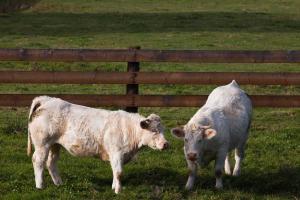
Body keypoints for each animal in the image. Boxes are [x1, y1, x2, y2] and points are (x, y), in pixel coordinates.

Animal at [27, 96, 169, 193]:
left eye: (163, 130)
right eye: (154, 131)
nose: (166, 144)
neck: (128, 129)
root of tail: (47, 99)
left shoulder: (118, 156)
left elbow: (115, 172)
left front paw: (114, 187)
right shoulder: (116, 153)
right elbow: (119, 172)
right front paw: (118, 191)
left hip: (55, 145)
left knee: (51, 162)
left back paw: (59, 183)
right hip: (42, 144)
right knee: (38, 161)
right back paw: (40, 185)